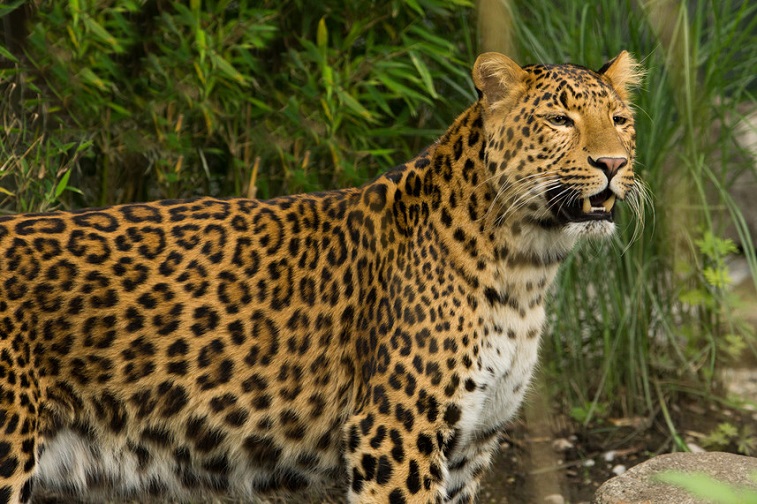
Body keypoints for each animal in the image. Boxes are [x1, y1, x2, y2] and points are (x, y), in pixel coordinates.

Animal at [0, 52, 644, 504]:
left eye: (619, 120)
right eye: (559, 120)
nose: (613, 163)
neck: (527, 265)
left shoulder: (469, 446)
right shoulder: (396, 434)